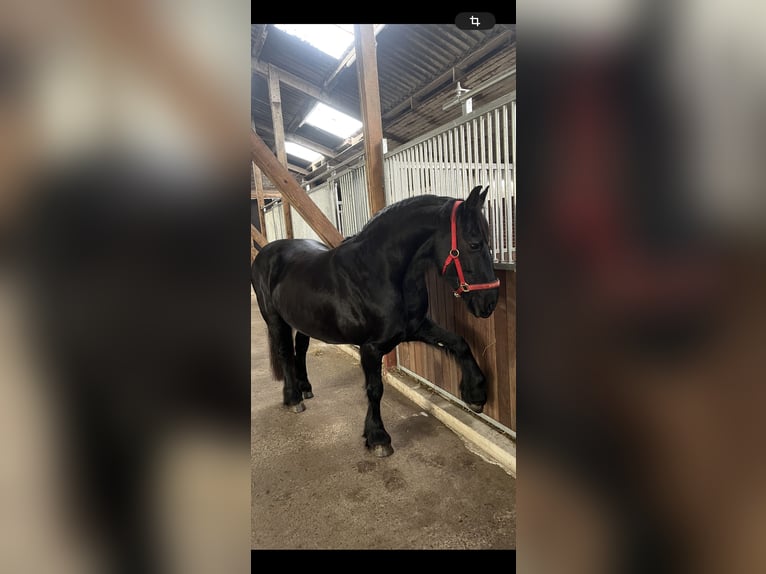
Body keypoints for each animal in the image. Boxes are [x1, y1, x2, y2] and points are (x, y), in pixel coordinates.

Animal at [252, 185, 500, 457]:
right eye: (475, 244)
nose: (490, 302)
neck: (378, 273)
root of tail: (266, 253)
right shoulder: (371, 347)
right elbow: (375, 388)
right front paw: (378, 437)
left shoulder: (416, 328)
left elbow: (459, 342)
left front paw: (476, 394)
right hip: (275, 319)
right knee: (285, 353)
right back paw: (293, 398)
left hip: (304, 321)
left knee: (301, 349)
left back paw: (305, 387)